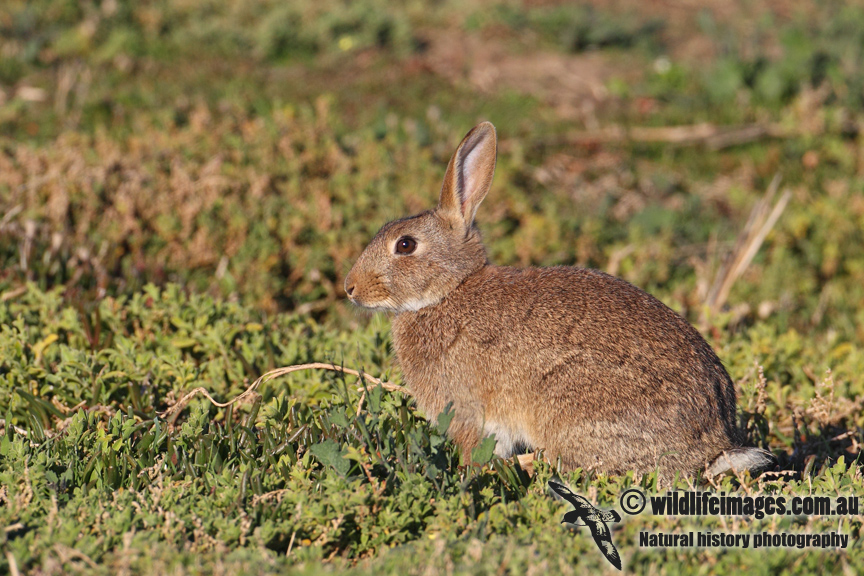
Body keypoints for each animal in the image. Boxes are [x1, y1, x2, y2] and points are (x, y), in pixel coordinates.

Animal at [344, 121, 776, 476]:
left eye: (405, 245)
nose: (350, 287)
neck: (449, 290)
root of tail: (711, 447)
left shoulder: (466, 412)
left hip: (569, 406)